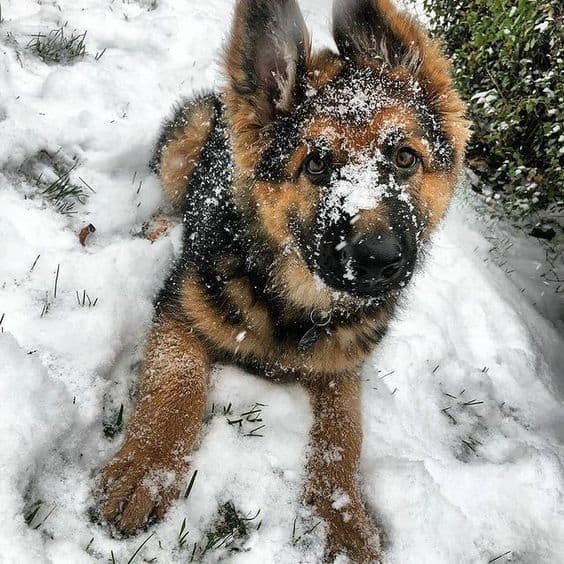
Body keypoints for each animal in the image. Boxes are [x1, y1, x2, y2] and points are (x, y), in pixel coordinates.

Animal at [94, 0, 470, 556]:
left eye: (405, 157)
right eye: (315, 164)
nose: (379, 259)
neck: (298, 306)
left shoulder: (343, 369)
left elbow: (343, 438)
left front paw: (344, 521)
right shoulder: (182, 311)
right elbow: (175, 385)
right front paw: (143, 472)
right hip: (185, 141)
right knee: (171, 197)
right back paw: (160, 227)